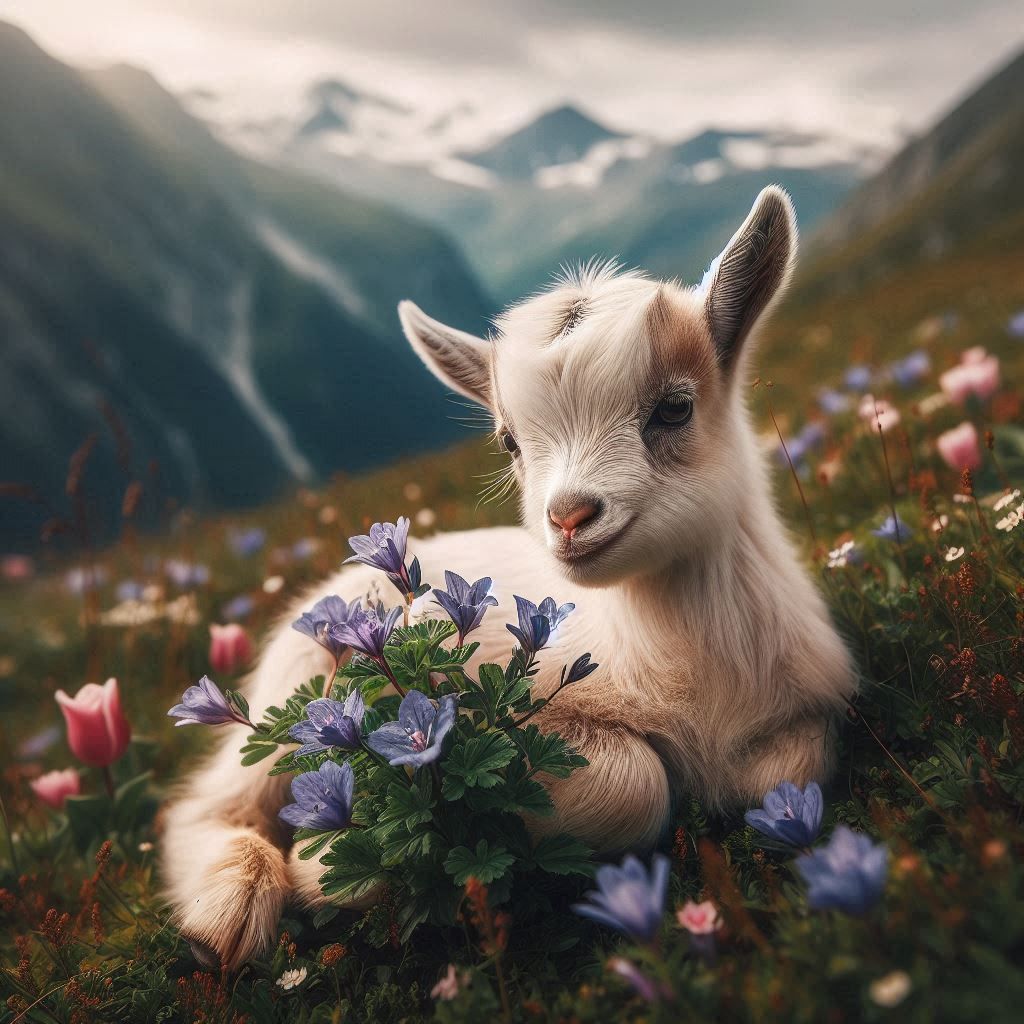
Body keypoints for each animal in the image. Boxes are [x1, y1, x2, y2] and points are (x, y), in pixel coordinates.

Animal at [162, 186, 855, 969]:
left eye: (675, 407)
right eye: (509, 442)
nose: (570, 517)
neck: (692, 685)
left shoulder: (798, 719)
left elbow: (784, 771)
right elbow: (638, 782)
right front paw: (324, 870)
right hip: (294, 692)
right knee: (208, 804)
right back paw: (229, 910)